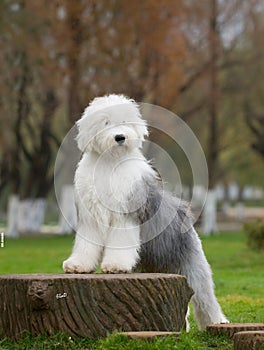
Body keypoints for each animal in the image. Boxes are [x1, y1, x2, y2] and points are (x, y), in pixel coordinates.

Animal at [63, 94, 228, 330]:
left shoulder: (125, 215)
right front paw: (78, 266)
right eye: (106, 123)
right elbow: (86, 246)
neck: (110, 163)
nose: (120, 137)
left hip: (192, 266)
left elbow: (120, 243)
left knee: (206, 299)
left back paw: (217, 323)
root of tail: (182, 211)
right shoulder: (90, 218)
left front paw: (115, 266)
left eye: (125, 121)